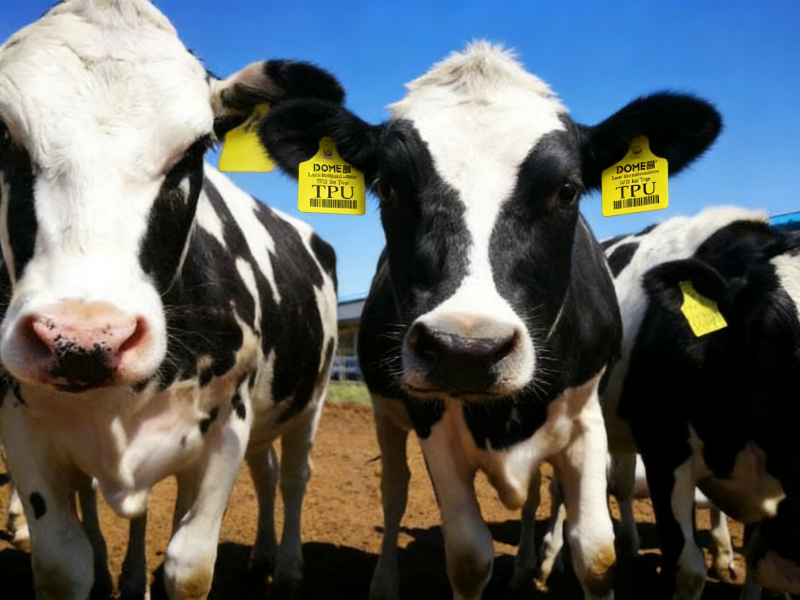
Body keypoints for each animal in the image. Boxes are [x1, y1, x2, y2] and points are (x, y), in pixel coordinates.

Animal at [0, 1, 340, 599]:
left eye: (197, 147)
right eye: (2, 134)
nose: (82, 340)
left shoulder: (227, 423)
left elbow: (189, 566)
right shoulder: (22, 423)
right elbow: (65, 562)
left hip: (312, 395)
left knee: (295, 475)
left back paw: (289, 567)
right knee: (266, 471)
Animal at [258, 42, 722, 600]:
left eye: (567, 190)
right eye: (388, 188)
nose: (466, 351)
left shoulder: (586, 420)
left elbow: (596, 552)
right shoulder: (430, 420)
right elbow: (468, 556)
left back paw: (527, 568)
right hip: (385, 412)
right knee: (394, 492)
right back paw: (387, 581)